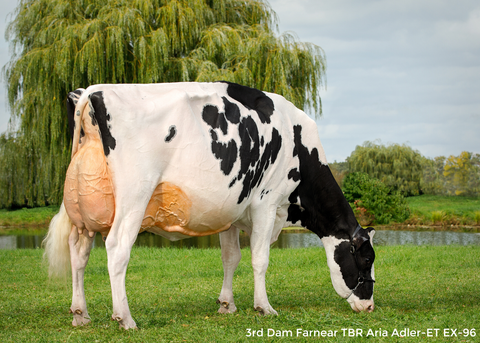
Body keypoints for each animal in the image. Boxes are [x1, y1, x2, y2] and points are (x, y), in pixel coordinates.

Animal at [43, 81, 376, 330]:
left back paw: (80, 314)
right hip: (134, 197)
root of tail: (91, 91)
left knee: (78, 254)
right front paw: (264, 306)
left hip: (82, 216)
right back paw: (125, 318)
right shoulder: (267, 203)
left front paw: (227, 304)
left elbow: (231, 258)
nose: (370, 305)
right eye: (367, 259)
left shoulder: (230, 211)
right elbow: (260, 259)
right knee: (117, 249)